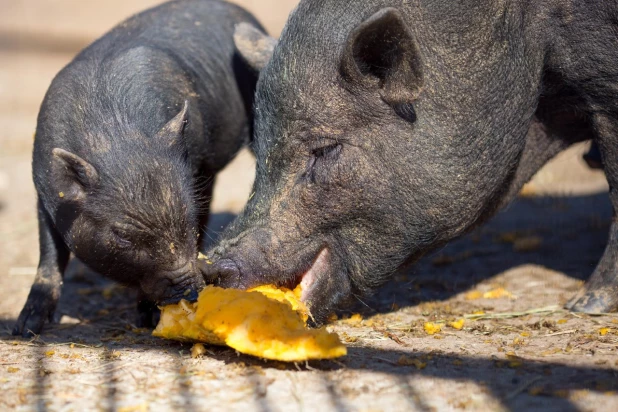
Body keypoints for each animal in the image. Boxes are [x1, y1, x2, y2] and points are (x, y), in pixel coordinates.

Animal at [13, 0, 264, 336]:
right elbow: (49, 256)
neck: (111, 137)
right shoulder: (44, 193)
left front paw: (149, 319)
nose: (192, 292)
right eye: (122, 235)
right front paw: (24, 329)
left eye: (187, 215)